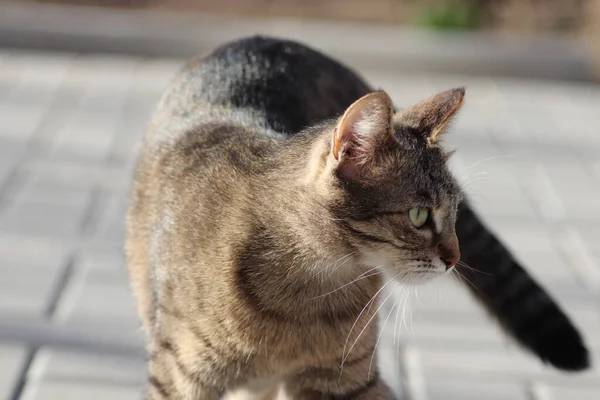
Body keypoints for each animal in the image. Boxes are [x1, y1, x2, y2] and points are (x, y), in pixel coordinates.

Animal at [124, 36, 588, 398]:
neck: (304, 291)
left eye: (455, 213)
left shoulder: (347, 379)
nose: (455, 258)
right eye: (419, 215)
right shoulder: (178, 377)